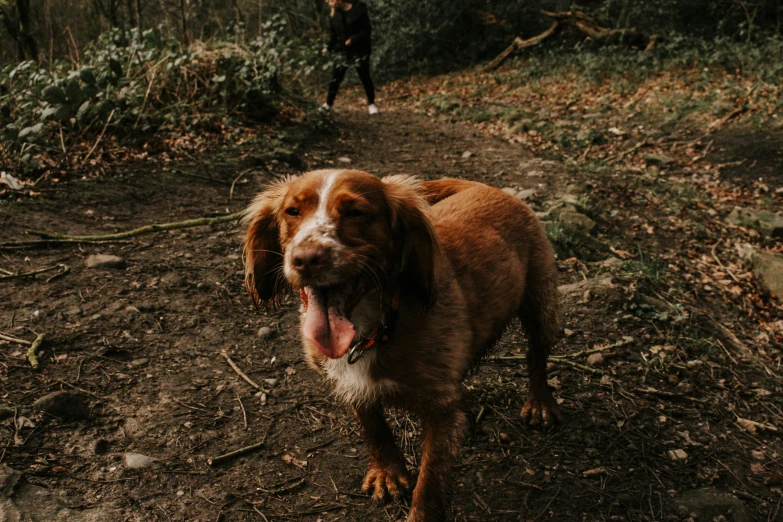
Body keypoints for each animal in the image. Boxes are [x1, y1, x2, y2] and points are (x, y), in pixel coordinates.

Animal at [242, 169, 560, 516]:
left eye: (356, 212)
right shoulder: (349, 383)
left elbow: (430, 483)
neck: (375, 325)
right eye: (292, 211)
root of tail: (488, 188)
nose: (306, 258)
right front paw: (388, 472)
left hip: (541, 305)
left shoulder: (440, 411)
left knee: (536, 356)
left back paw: (540, 403)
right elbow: (374, 427)